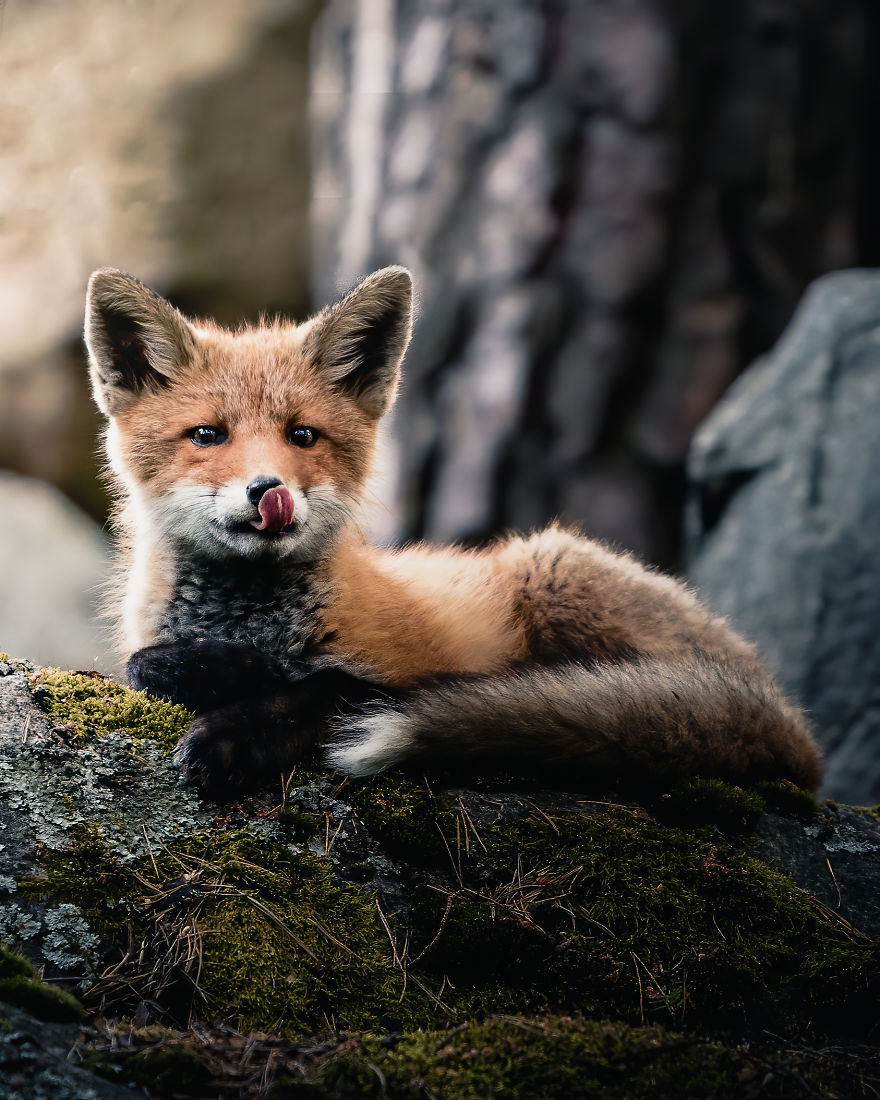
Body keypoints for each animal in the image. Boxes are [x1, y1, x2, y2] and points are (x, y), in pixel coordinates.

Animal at [83, 265, 823, 796]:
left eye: (303, 436)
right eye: (208, 436)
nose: (271, 492)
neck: (250, 619)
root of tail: (787, 714)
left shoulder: (390, 677)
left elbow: (318, 695)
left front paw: (235, 731)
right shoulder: (154, 646)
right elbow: (144, 665)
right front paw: (222, 672)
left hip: (554, 569)